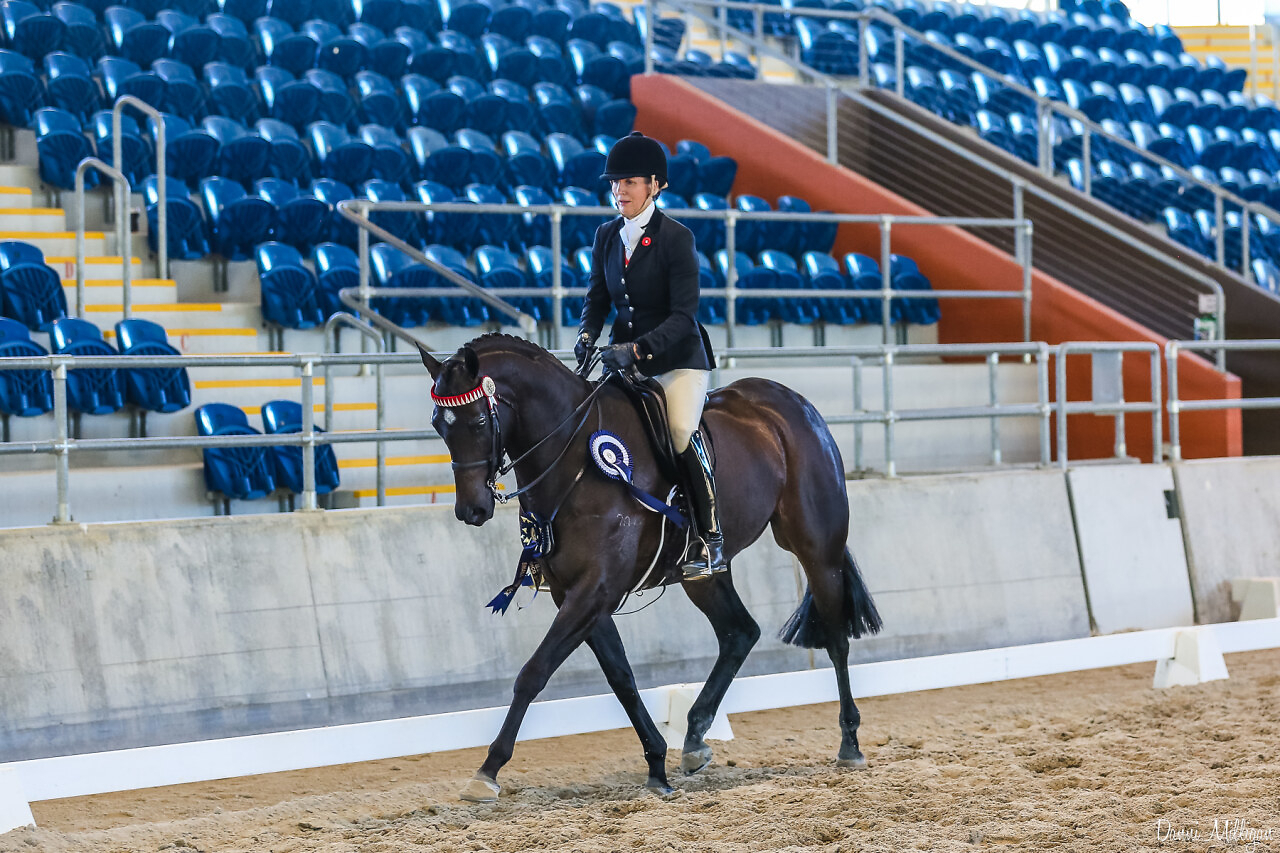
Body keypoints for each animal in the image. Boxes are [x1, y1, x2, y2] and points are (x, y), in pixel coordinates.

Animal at [418, 334, 882, 802]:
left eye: (479, 420)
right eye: (439, 425)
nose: (471, 511)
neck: (572, 455)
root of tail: (793, 402)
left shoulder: (595, 590)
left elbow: (534, 673)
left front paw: (488, 770)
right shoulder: (578, 594)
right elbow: (621, 677)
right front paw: (657, 763)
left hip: (816, 548)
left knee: (835, 637)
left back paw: (849, 744)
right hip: (703, 576)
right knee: (740, 632)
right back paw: (693, 739)